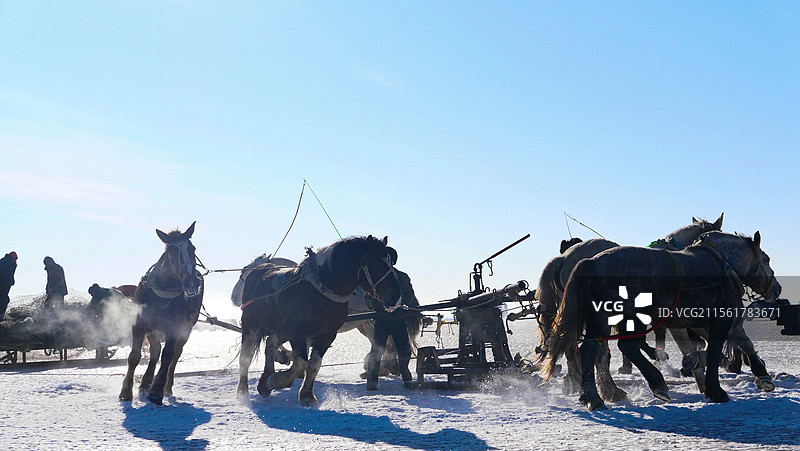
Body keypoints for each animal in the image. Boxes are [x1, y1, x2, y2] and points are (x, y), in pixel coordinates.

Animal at [119, 222, 204, 405]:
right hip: (154, 329)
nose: (192, 283)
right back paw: (145, 383)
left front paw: (157, 391)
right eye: (171, 251)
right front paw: (126, 392)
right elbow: (134, 356)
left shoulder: (174, 327)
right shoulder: (140, 325)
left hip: (186, 328)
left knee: (175, 355)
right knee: (156, 350)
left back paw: (166, 386)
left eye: (192, 248)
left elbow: (168, 356)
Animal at [236, 235, 403, 407]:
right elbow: (300, 364)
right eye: (375, 263)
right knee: (246, 357)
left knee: (270, 344)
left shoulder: (327, 335)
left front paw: (306, 395)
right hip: (251, 326)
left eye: (390, 262)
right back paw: (243, 391)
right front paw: (277, 380)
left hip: (282, 331)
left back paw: (264, 382)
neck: (319, 290)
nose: (395, 296)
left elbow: (314, 365)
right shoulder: (297, 333)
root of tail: (259, 271)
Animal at [534, 214, 723, 400]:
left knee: (574, 346)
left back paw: (582, 384)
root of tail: (562, 259)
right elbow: (690, 343)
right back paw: (607, 389)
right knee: (595, 350)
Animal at [542, 231, 781, 411]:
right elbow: (714, 353)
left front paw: (760, 374)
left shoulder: (704, 323)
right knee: (624, 347)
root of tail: (589, 262)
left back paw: (593, 397)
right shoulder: (719, 320)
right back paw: (655, 384)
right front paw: (716, 390)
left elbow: (739, 343)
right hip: (628, 318)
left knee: (591, 350)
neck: (722, 264)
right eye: (767, 259)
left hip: (602, 320)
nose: (777, 289)